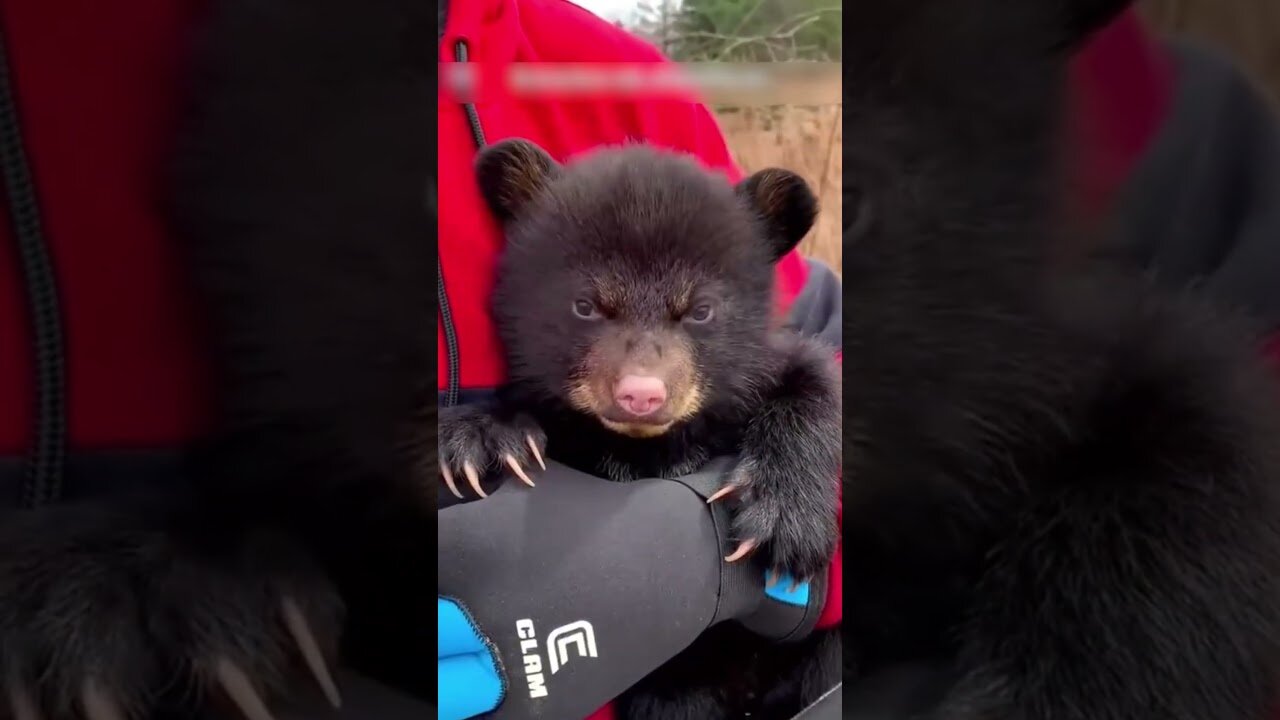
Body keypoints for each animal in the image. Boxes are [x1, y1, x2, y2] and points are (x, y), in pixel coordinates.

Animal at [437, 138, 844, 719]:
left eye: (700, 310)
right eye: (585, 305)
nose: (641, 394)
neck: (644, 449)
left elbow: (814, 376)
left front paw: (786, 518)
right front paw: (481, 439)